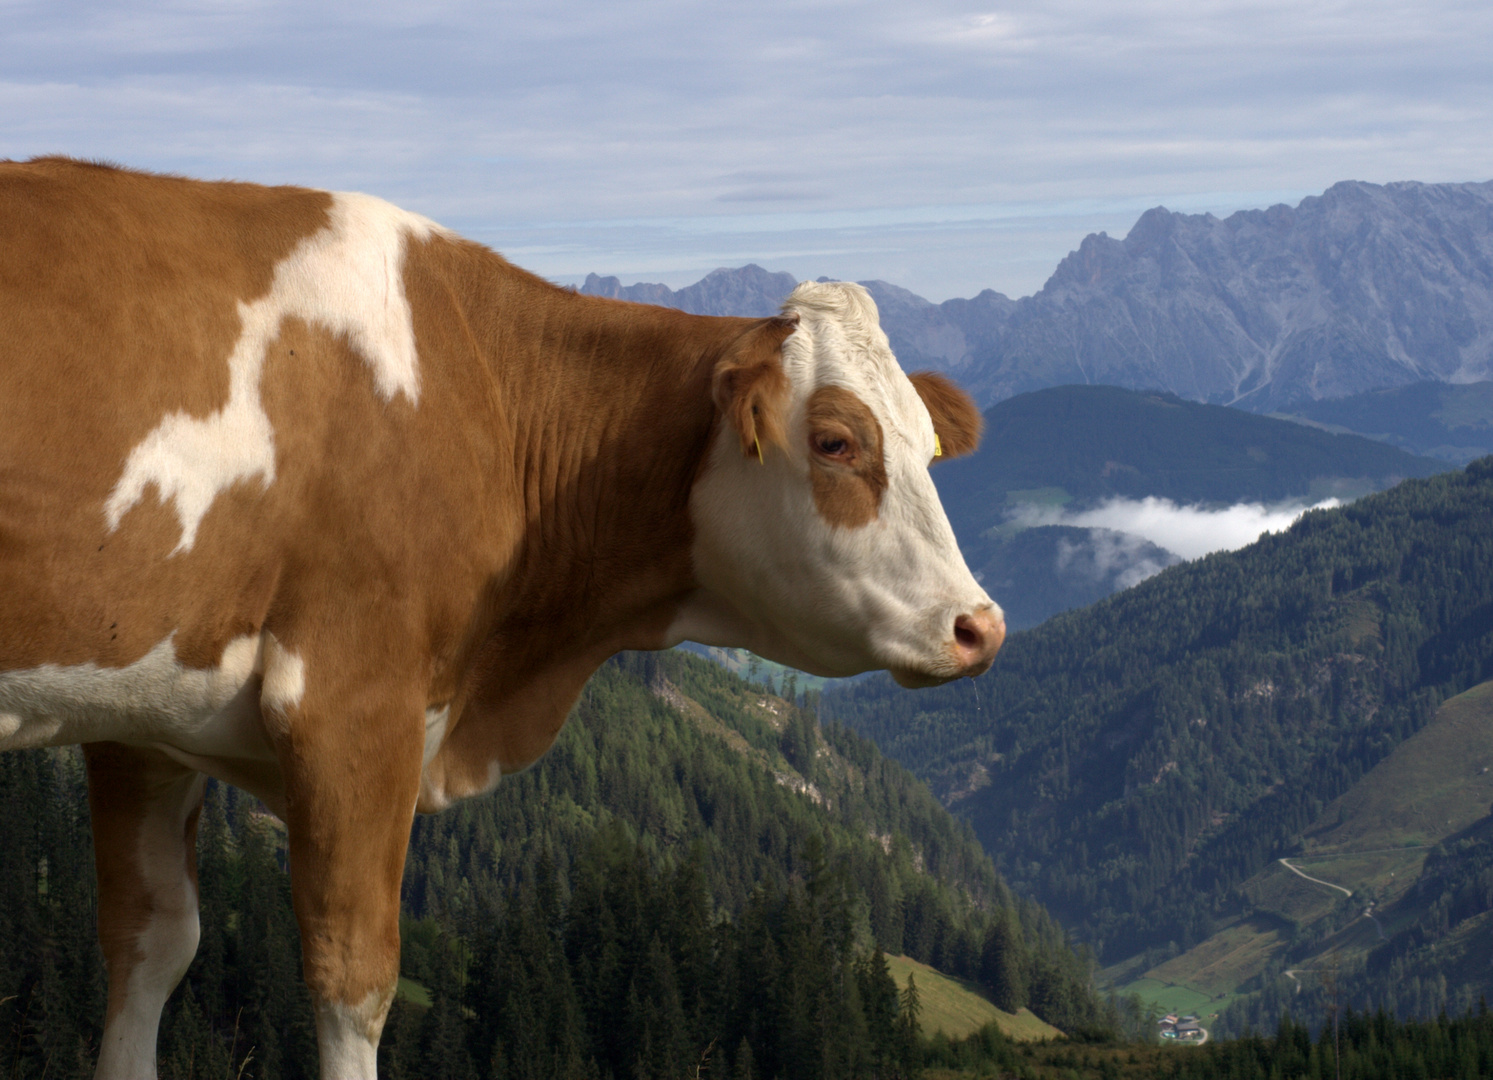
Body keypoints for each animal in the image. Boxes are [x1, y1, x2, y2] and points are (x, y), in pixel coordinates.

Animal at [0, 156, 1009, 1075]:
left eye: (929, 446)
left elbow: (149, 949)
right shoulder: (353, 701)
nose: (980, 627)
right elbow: (353, 977)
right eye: (836, 442)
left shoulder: (142, 717)